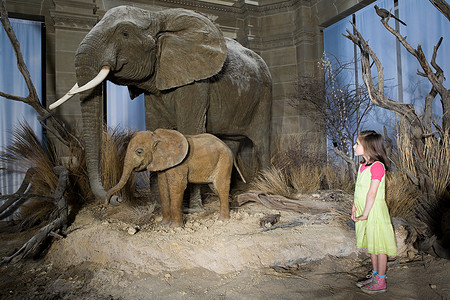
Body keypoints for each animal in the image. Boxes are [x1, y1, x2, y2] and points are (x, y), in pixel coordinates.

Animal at [51, 5, 272, 205]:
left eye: (125, 33)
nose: (115, 199)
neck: (156, 15)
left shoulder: (196, 82)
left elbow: (191, 130)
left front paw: (194, 209)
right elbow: (156, 127)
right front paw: (157, 208)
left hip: (264, 95)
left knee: (261, 143)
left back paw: (264, 187)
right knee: (230, 144)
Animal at [105, 127, 234, 226]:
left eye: (139, 152)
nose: (108, 202)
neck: (158, 138)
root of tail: (226, 145)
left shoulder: (180, 164)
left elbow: (177, 187)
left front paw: (175, 227)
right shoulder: (163, 163)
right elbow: (163, 187)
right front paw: (164, 224)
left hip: (224, 161)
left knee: (221, 187)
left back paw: (222, 220)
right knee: (215, 188)